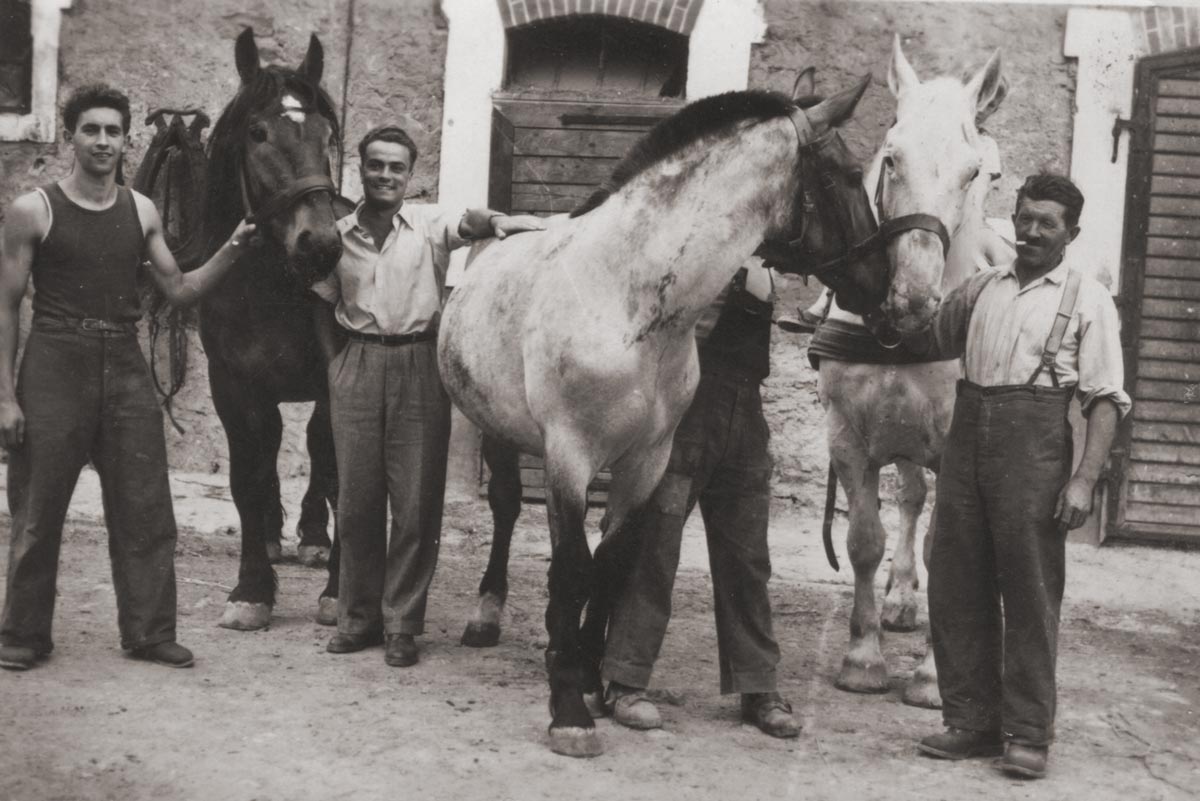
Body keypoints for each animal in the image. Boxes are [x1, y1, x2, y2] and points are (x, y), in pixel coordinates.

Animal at [438, 75, 917, 757]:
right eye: (851, 175)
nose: (884, 294)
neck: (628, 295)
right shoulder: (569, 456)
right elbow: (572, 570)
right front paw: (569, 710)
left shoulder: (647, 459)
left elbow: (611, 565)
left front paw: (591, 681)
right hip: (498, 429)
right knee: (505, 508)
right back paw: (485, 614)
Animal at [814, 36, 1009, 707]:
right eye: (892, 158)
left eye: (975, 173)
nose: (916, 299)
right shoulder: (848, 434)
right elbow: (864, 541)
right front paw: (863, 657)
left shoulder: (956, 445)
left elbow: (946, 548)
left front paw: (932, 678)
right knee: (911, 497)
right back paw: (899, 599)